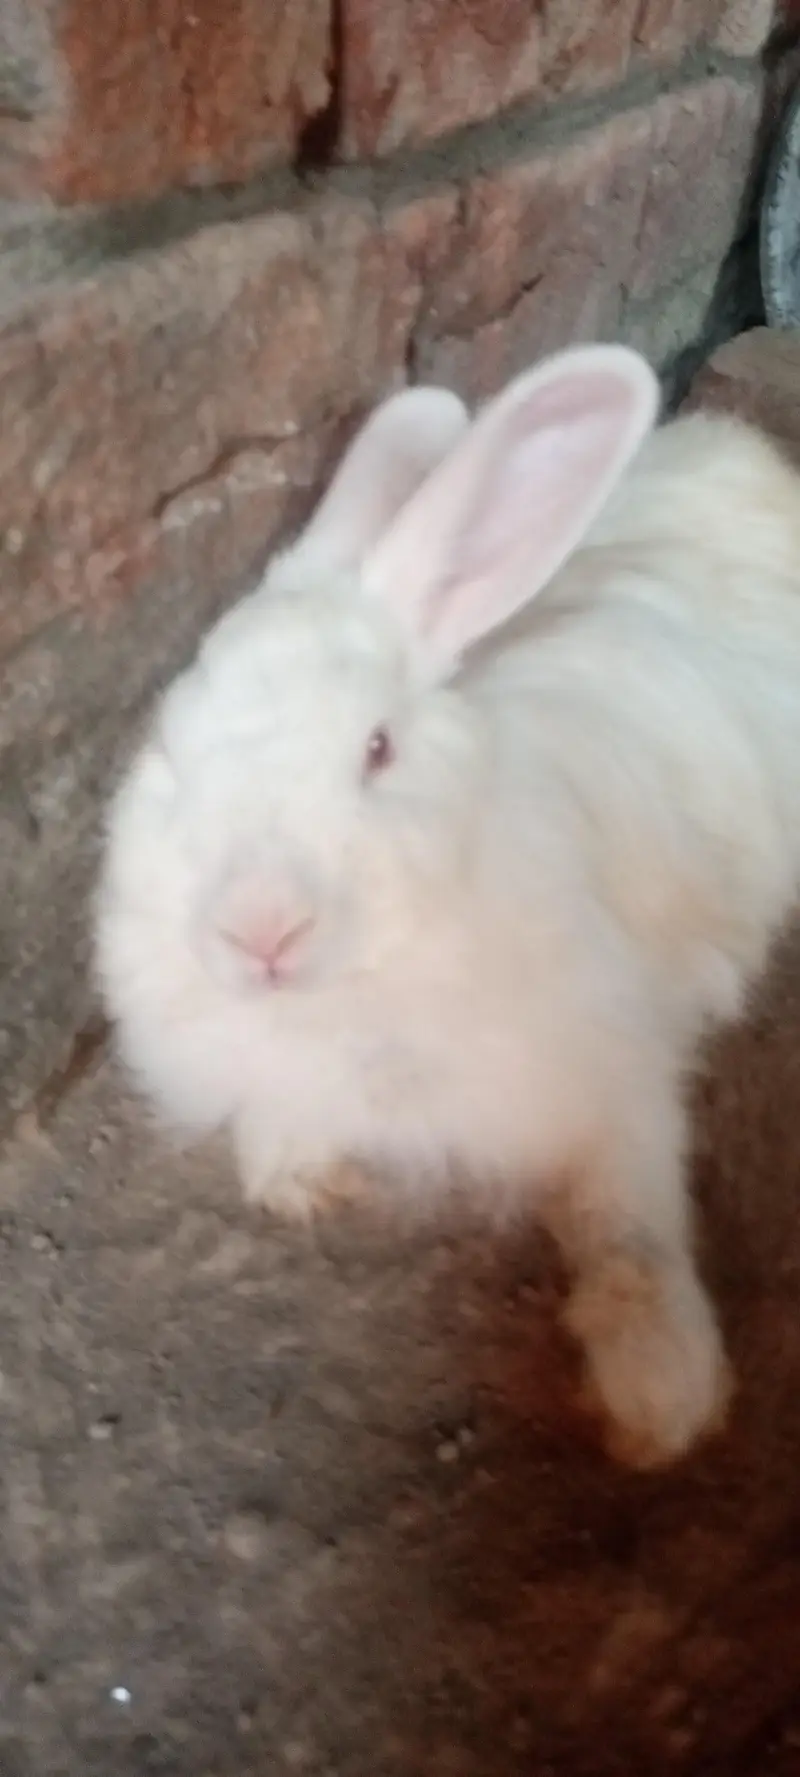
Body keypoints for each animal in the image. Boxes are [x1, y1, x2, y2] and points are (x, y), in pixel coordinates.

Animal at [95, 342, 800, 1470]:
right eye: (170, 742)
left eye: (378, 750)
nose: (258, 931)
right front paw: (295, 1180)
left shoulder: (611, 1075)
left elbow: (630, 1222)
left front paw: (659, 1398)